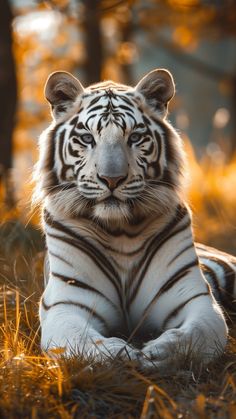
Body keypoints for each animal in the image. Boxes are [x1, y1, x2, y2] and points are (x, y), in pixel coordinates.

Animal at [33, 69, 236, 370]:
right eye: (87, 138)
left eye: (136, 137)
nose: (112, 179)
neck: (120, 231)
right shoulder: (66, 306)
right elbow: (85, 343)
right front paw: (124, 355)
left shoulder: (195, 299)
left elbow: (197, 334)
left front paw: (157, 353)